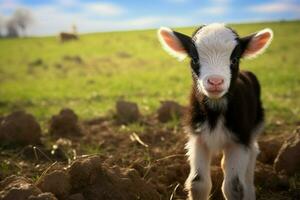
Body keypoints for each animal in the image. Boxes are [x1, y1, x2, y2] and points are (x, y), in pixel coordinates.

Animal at [158, 23, 274, 200]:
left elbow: (234, 186)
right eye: (195, 59)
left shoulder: (240, 139)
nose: (215, 81)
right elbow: (198, 183)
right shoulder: (197, 138)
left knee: (253, 153)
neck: (215, 111)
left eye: (234, 59)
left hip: (255, 125)